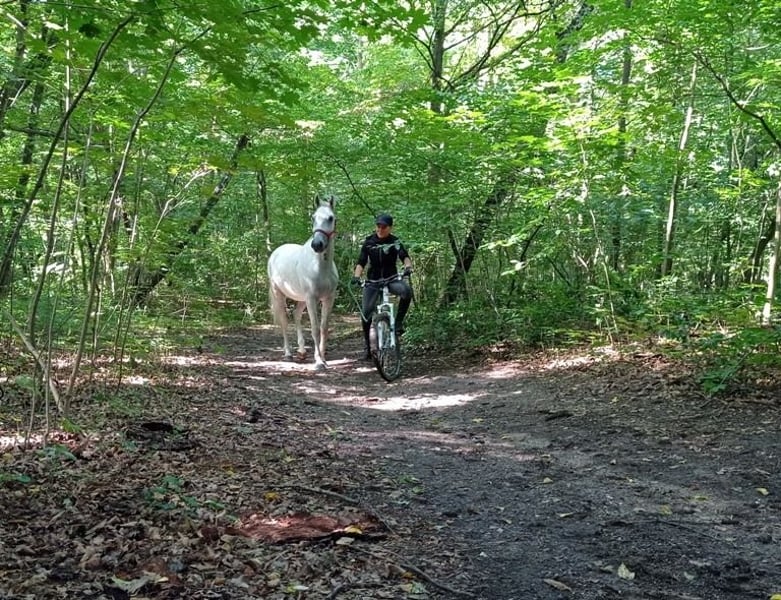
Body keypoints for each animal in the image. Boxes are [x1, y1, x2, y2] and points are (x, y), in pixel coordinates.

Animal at [267, 196, 339, 370]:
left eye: (331, 218)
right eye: (313, 217)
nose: (317, 245)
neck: (320, 266)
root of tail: (275, 253)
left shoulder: (328, 298)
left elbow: (324, 328)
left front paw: (323, 358)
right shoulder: (312, 298)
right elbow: (314, 328)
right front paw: (318, 361)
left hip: (301, 299)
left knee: (296, 314)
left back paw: (301, 350)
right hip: (279, 294)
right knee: (284, 321)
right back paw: (288, 353)